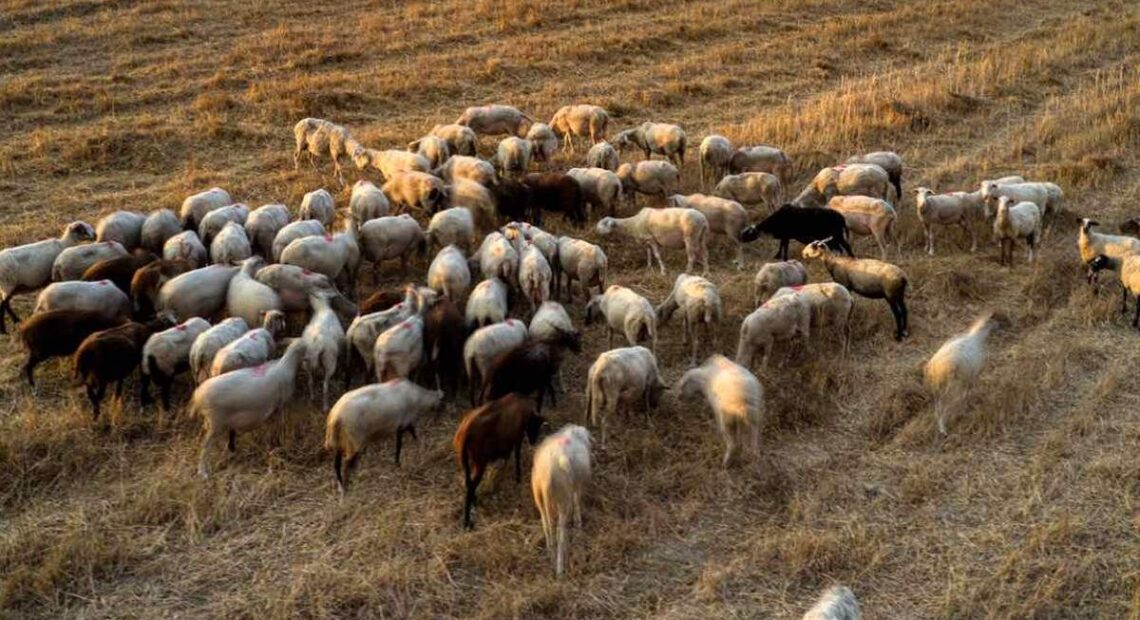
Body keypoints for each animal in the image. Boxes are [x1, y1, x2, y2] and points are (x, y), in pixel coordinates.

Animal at [191, 338, 307, 478]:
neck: (286, 366)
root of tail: (198, 395)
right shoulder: (279, 406)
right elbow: (277, 426)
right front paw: (277, 443)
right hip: (216, 422)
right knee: (205, 446)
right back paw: (203, 471)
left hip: (210, 421)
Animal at [454, 393, 545, 528]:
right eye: (535, 425)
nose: (533, 441)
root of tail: (465, 432)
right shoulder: (517, 437)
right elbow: (517, 456)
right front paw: (518, 477)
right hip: (480, 463)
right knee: (470, 487)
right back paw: (467, 522)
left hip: (466, 462)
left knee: (468, 482)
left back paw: (474, 502)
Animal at [531, 424, 592, 577]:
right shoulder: (576, 485)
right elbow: (577, 504)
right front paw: (578, 526)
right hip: (563, 497)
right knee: (559, 531)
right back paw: (559, 567)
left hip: (539, 495)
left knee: (548, 525)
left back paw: (552, 557)